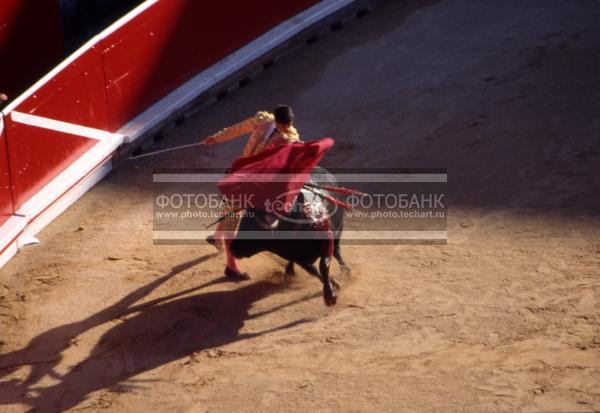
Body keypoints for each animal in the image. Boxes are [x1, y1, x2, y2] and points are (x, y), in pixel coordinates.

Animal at [230, 166, 352, 304]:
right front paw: (333, 284)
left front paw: (331, 293)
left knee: (337, 251)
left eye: (252, 229)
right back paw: (290, 270)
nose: (233, 248)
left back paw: (346, 270)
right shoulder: (299, 258)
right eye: (242, 224)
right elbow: (315, 271)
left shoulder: (327, 242)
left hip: (339, 229)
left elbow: (323, 267)